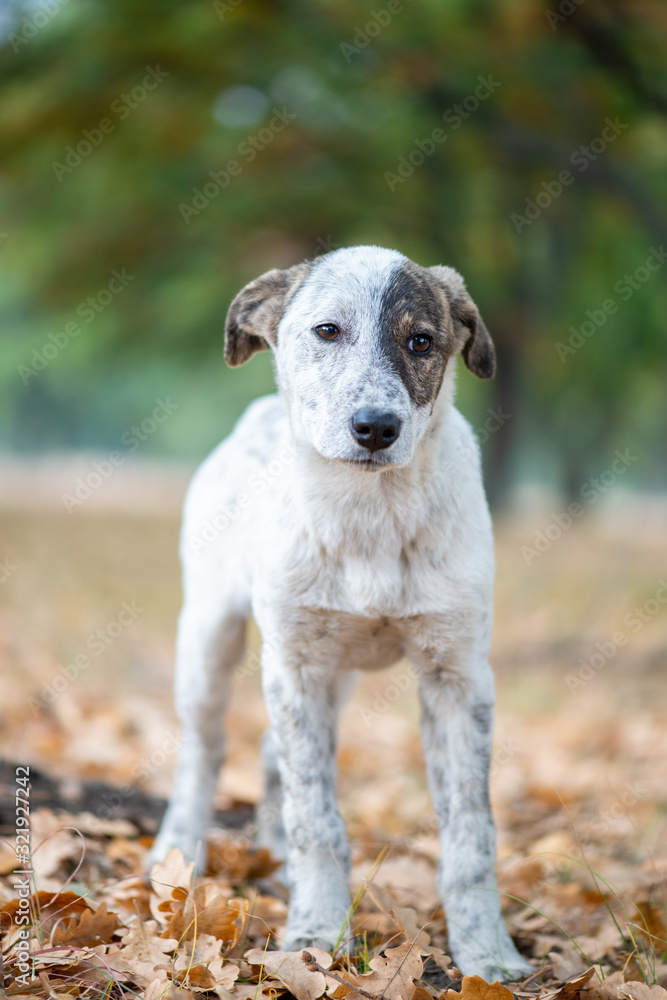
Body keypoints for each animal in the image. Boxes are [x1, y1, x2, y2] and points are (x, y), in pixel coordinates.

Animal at [151, 246, 532, 980]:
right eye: (327, 331)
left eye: (422, 341)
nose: (376, 428)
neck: (371, 513)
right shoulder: (297, 666)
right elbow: (317, 818)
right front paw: (318, 933)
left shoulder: (457, 675)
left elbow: (470, 831)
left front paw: (487, 954)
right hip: (209, 638)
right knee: (205, 751)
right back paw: (176, 853)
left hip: (336, 674)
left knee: (270, 753)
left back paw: (272, 860)